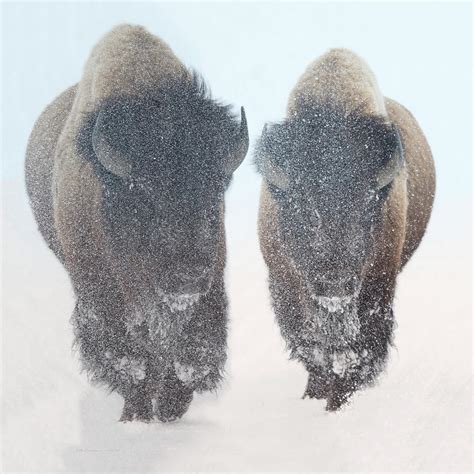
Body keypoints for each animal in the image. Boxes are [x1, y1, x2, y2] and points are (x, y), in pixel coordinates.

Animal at [24, 24, 250, 420]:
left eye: (216, 188)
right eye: (143, 191)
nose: (187, 276)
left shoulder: (209, 288)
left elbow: (191, 351)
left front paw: (172, 407)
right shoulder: (103, 298)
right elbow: (131, 360)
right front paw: (139, 413)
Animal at [258, 49, 436, 412]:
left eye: (367, 210)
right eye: (305, 210)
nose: (335, 285)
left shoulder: (377, 284)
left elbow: (355, 351)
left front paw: (337, 402)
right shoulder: (284, 283)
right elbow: (311, 345)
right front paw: (315, 394)